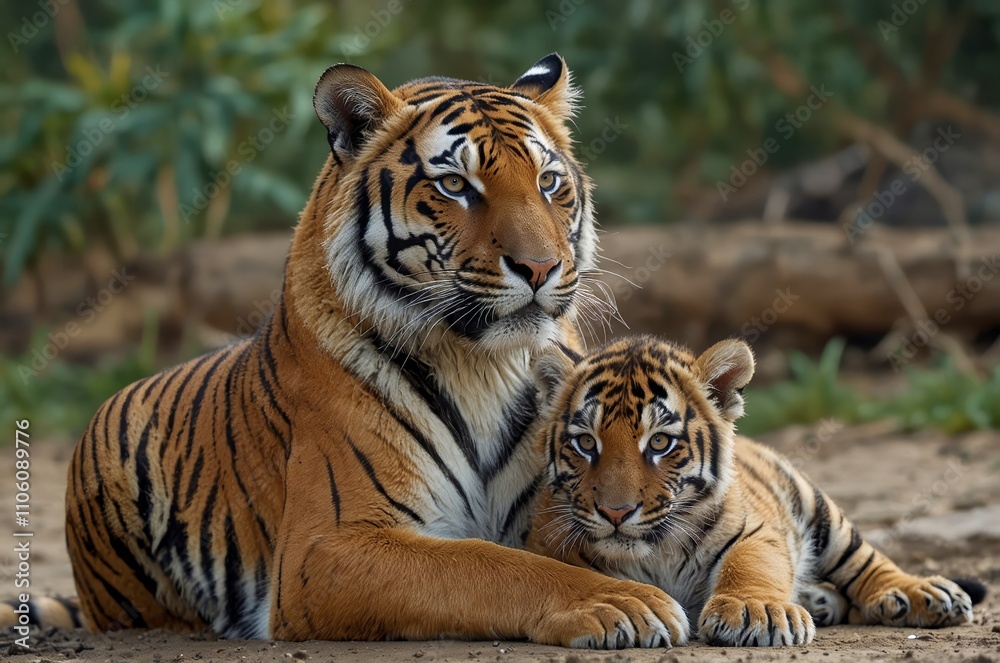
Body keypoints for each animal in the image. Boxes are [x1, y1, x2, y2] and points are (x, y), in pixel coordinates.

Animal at [1, 55, 686, 649]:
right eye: (455, 184)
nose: (541, 268)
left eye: (548, 183)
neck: (482, 362)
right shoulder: (326, 546)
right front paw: (621, 601)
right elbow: (489, 565)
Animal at [527, 335, 987, 647]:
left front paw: (755, 611)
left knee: (868, 562)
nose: (615, 512)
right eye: (586, 443)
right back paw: (821, 600)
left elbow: (753, 566)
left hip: (817, 507)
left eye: (659, 442)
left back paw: (922, 594)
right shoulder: (549, 544)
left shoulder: (756, 531)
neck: (655, 552)